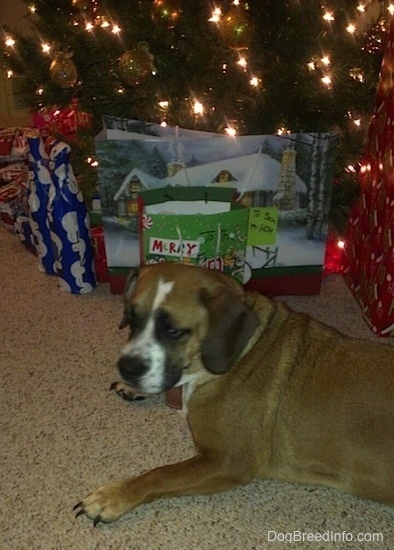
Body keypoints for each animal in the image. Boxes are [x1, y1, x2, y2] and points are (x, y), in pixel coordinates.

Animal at [74, 264, 394, 528]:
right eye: (130, 318)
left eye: (174, 331)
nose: (127, 368)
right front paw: (133, 387)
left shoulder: (227, 462)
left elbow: (160, 473)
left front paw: (114, 496)